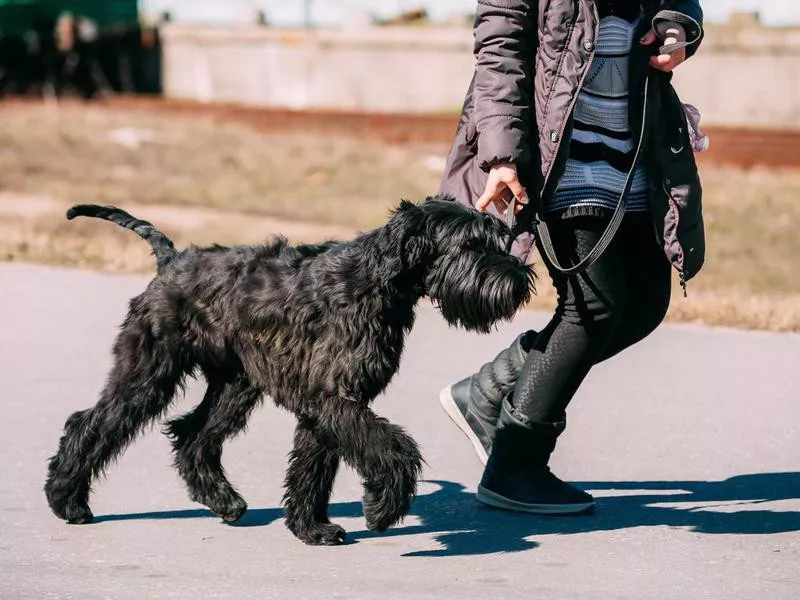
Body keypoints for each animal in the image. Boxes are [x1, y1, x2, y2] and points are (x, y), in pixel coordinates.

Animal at [42, 199, 532, 548]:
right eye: (471, 245)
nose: (521, 279)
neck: (375, 282)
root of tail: (171, 261)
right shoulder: (334, 399)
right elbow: (394, 448)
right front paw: (381, 508)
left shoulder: (328, 407)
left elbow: (313, 466)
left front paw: (310, 527)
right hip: (148, 373)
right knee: (90, 424)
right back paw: (67, 500)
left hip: (234, 385)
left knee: (193, 436)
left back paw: (224, 500)